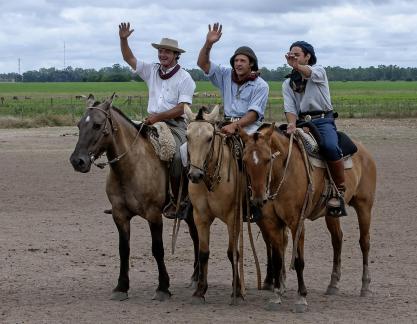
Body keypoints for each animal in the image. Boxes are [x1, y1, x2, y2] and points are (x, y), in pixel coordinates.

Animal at [69, 93, 199, 302]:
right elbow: (124, 249)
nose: (77, 161)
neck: (132, 166)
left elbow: (158, 249)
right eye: (79, 125)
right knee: (196, 236)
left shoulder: (154, 215)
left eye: (97, 125)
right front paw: (121, 287)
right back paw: (195, 277)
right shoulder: (120, 215)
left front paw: (163, 287)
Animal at [239, 123, 376, 312]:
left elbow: (298, 261)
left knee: (364, 242)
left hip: (364, 206)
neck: (283, 173)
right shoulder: (272, 223)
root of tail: (363, 150)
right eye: (244, 161)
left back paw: (365, 286)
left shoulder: (297, 222)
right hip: (331, 214)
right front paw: (276, 296)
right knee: (337, 240)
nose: (259, 199)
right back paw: (333, 284)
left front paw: (301, 298)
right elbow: (277, 259)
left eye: (267, 159)